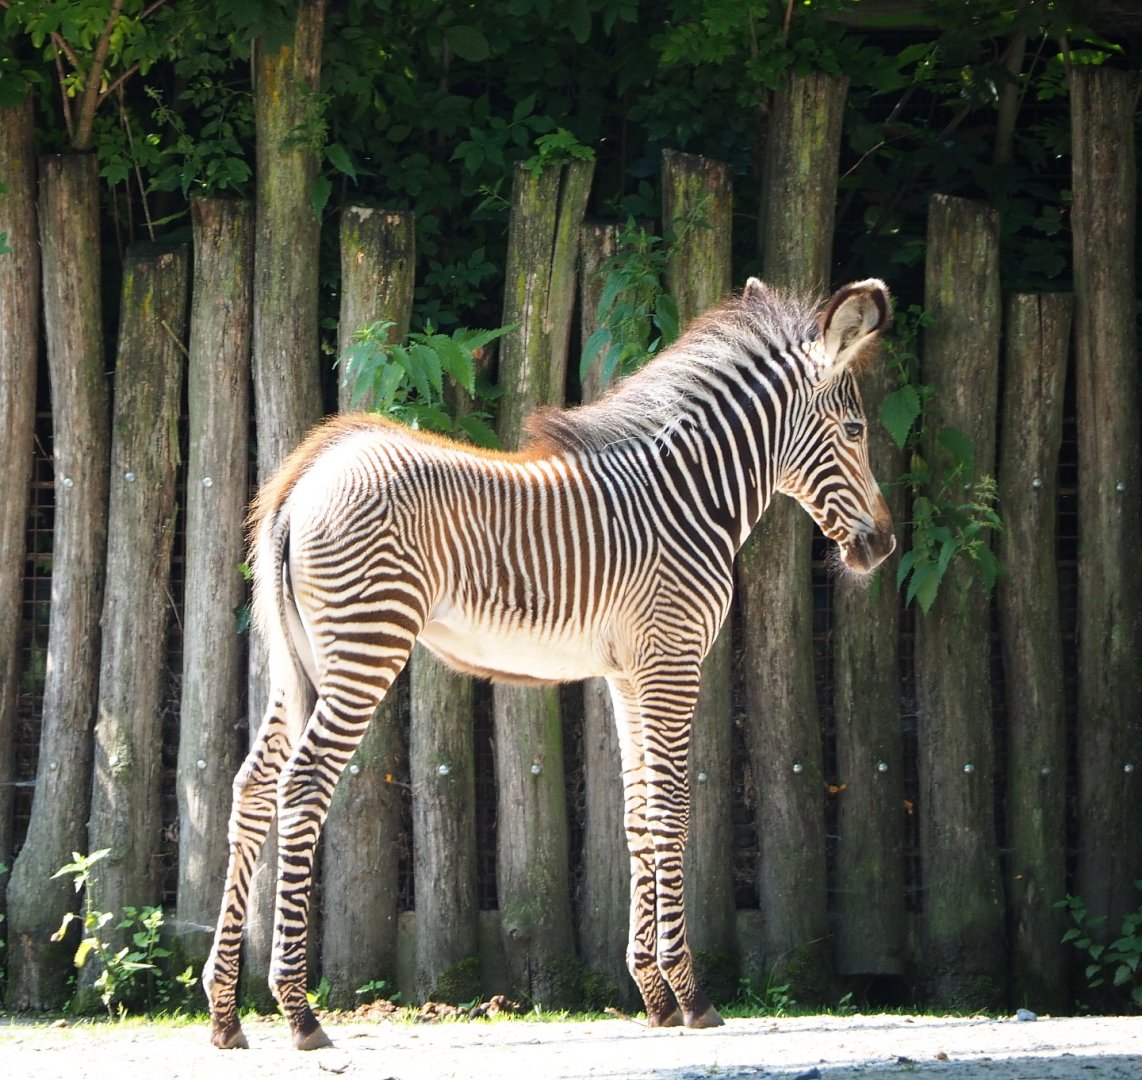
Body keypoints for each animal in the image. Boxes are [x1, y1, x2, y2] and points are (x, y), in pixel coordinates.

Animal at [204, 276, 896, 1050]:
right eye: (856, 432)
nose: (883, 546)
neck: (688, 500)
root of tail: (306, 474)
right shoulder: (673, 659)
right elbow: (673, 809)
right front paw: (690, 996)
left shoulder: (631, 672)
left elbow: (637, 813)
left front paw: (653, 995)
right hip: (366, 645)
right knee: (301, 787)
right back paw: (299, 1011)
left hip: (304, 660)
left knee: (252, 787)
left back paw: (225, 1014)